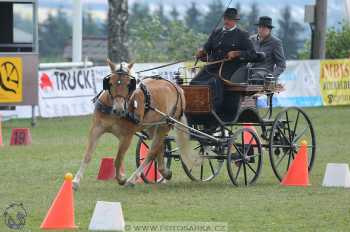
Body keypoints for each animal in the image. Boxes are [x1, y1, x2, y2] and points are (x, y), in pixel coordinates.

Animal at [72, 59, 201, 189]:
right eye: (110, 83)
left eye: (129, 84)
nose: (119, 110)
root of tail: (177, 87)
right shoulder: (96, 128)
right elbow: (88, 155)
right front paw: (75, 181)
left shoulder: (126, 136)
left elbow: (118, 159)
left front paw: (121, 179)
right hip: (153, 127)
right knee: (160, 147)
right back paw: (165, 172)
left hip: (165, 124)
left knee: (152, 152)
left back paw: (132, 179)